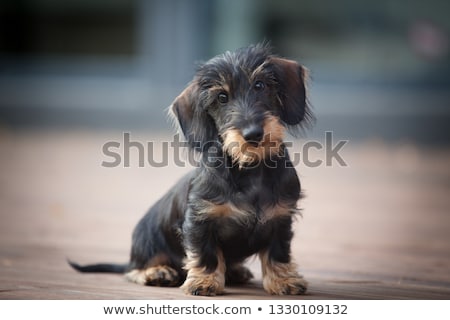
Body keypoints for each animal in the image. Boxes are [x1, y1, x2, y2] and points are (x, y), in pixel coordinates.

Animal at [68, 42, 312, 296]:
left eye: (260, 85)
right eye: (222, 97)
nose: (253, 134)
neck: (248, 169)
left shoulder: (280, 218)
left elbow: (278, 254)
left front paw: (284, 281)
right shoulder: (199, 221)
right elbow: (206, 255)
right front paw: (203, 282)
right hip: (148, 240)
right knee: (133, 270)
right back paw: (157, 272)